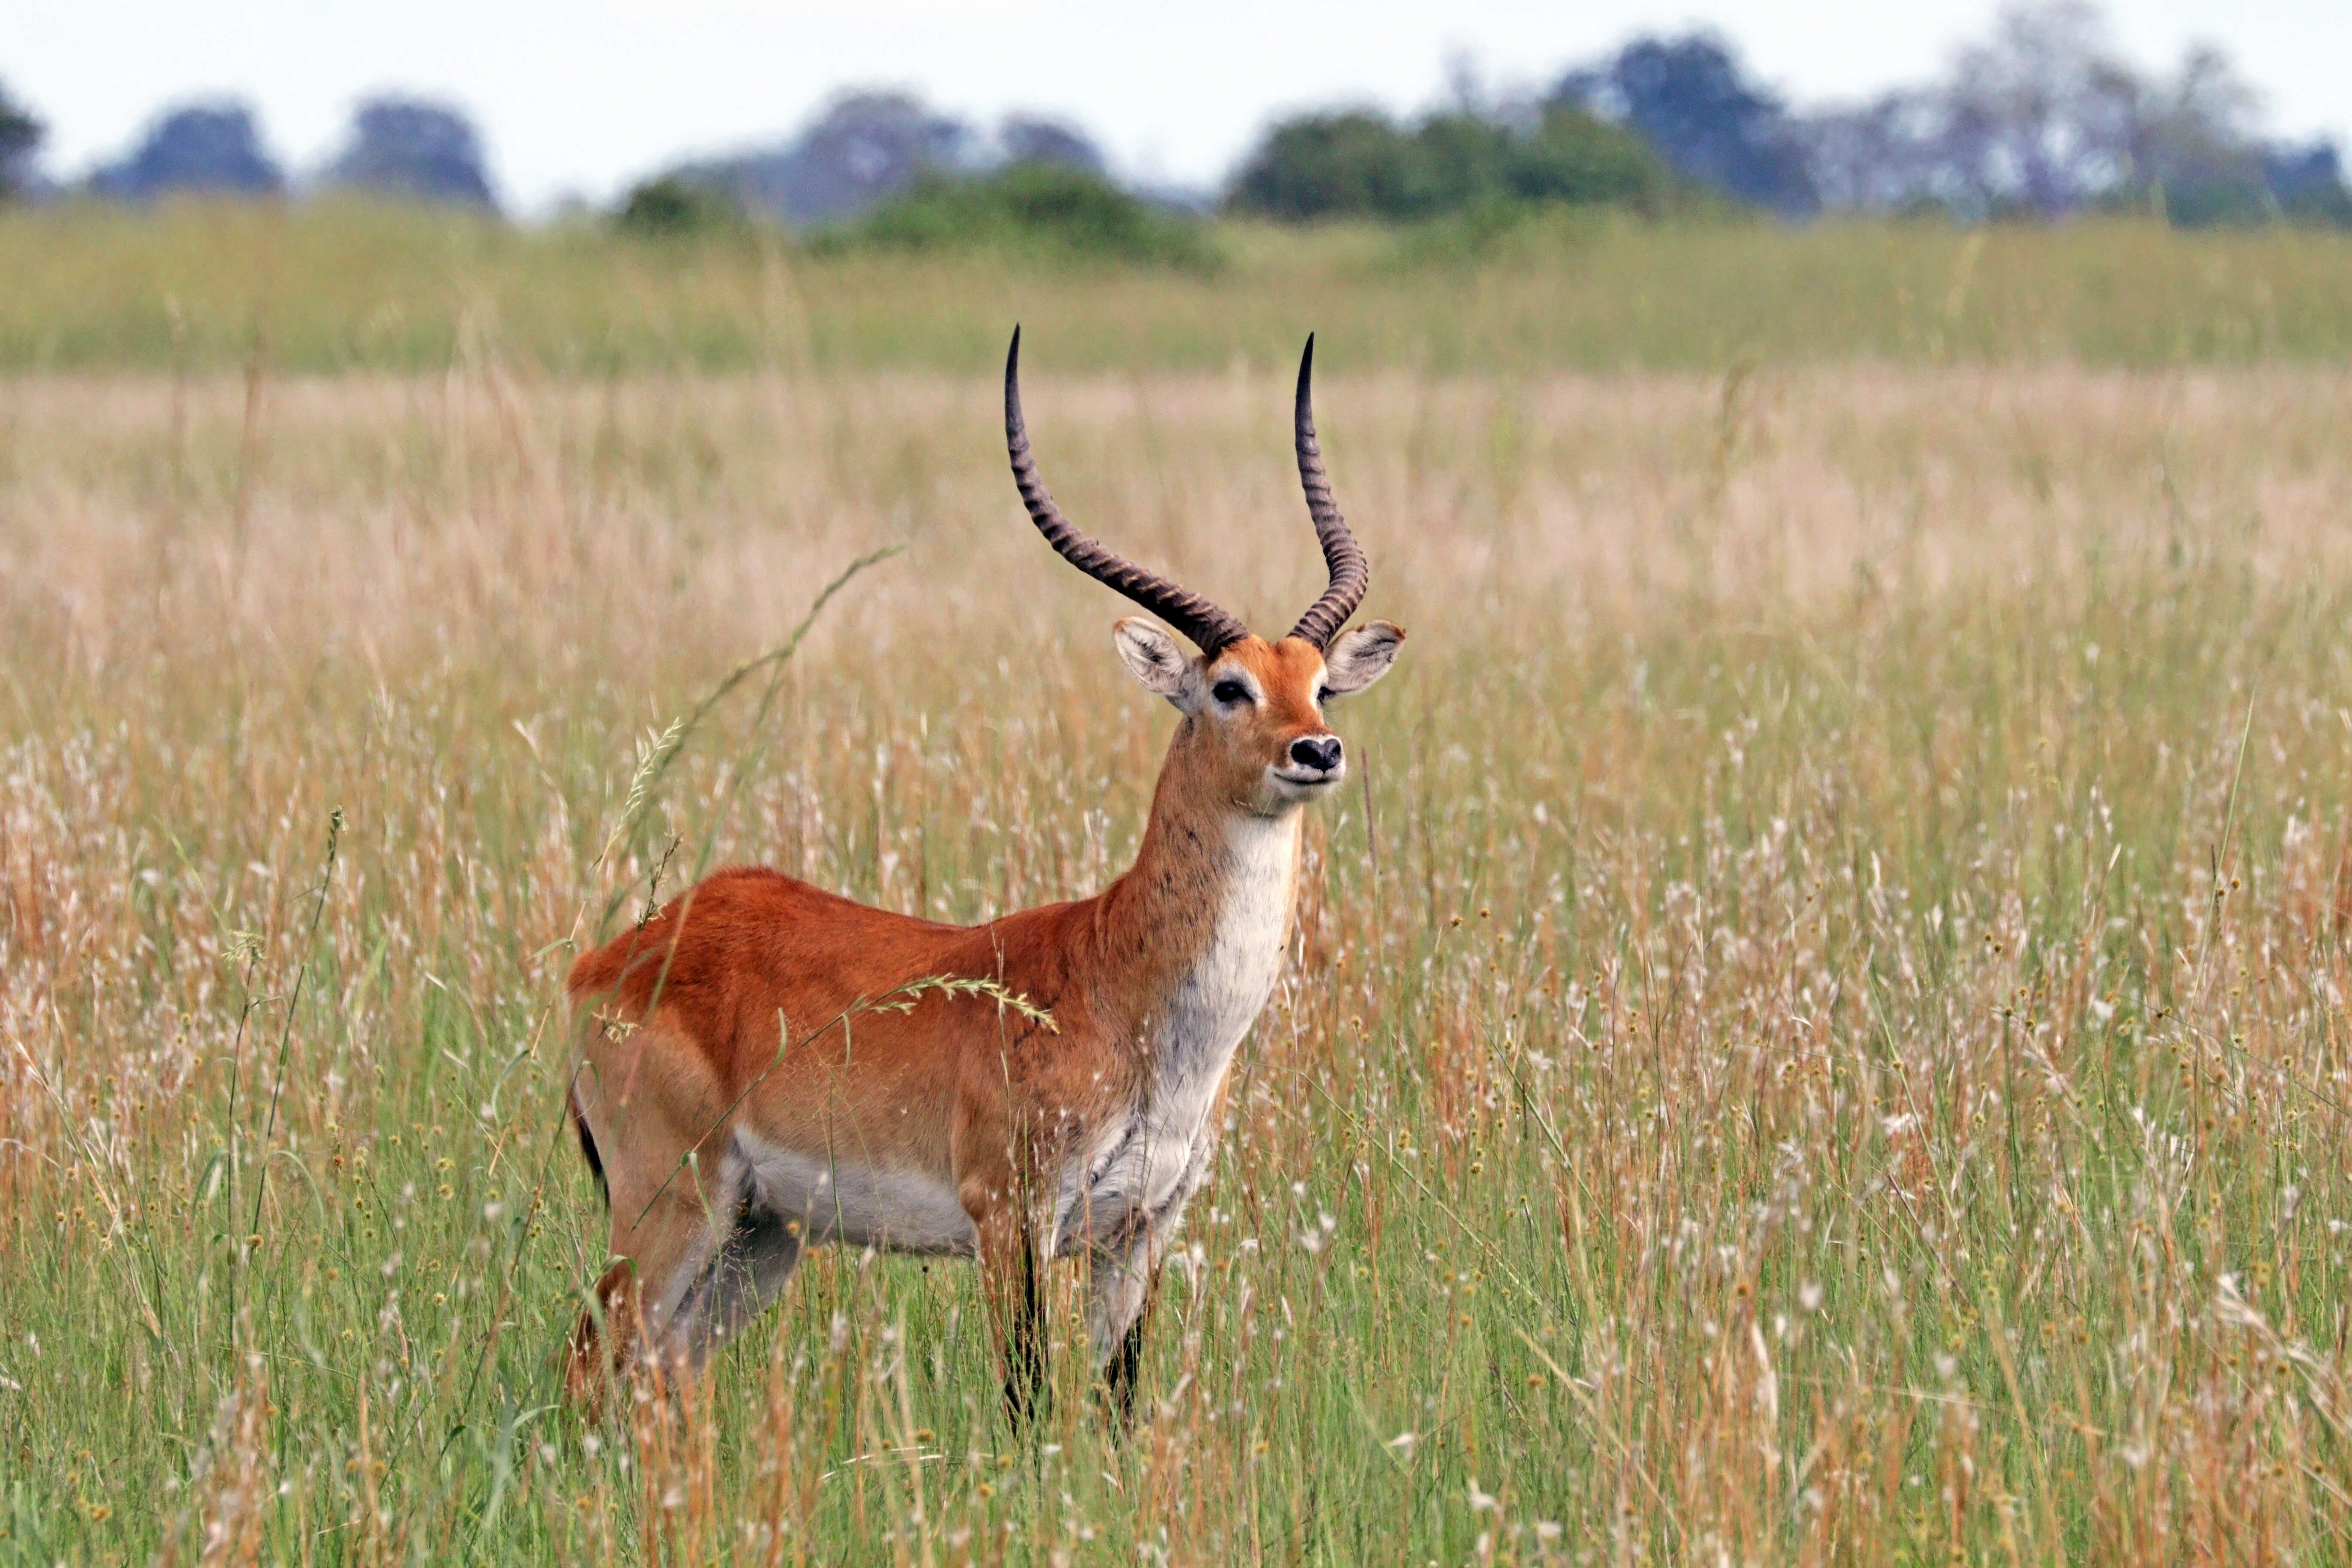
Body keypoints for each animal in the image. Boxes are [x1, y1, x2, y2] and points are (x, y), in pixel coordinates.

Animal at [564, 329, 1411, 1420]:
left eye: (1316, 683)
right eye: (1229, 686)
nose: (1318, 750)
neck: (1121, 982)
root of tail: (618, 951)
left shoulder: (1141, 1229)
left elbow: (1117, 1401)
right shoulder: (1009, 1215)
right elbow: (1029, 1397)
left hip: (758, 1236)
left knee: (658, 1382)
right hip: (669, 1204)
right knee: (590, 1362)